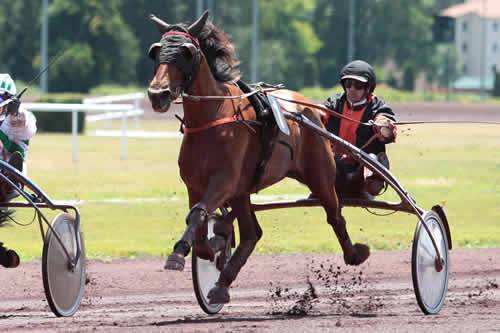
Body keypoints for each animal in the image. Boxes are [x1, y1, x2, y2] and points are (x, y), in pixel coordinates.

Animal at [146, 11, 370, 304]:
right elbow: (200, 221)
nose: (157, 94)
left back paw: (355, 254)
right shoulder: (195, 184)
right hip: (243, 191)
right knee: (252, 234)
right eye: (156, 51)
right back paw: (220, 286)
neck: (213, 118)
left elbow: (197, 215)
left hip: (319, 175)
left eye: (186, 52)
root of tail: (313, 110)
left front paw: (179, 253)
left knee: (335, 215)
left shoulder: (224, 181)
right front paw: (212, 246)